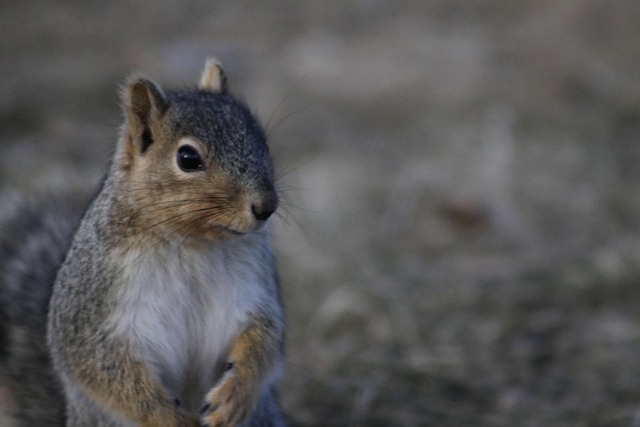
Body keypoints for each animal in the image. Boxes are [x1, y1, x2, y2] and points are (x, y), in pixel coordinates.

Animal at [0, 59, 287, 427]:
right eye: (188, 158)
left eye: (261, 141)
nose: (266, 206)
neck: (194, 243)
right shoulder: (96, 306)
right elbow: (107, 371)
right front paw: (169, 418)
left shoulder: (253, 288)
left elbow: (263, 338)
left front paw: (235, 394)